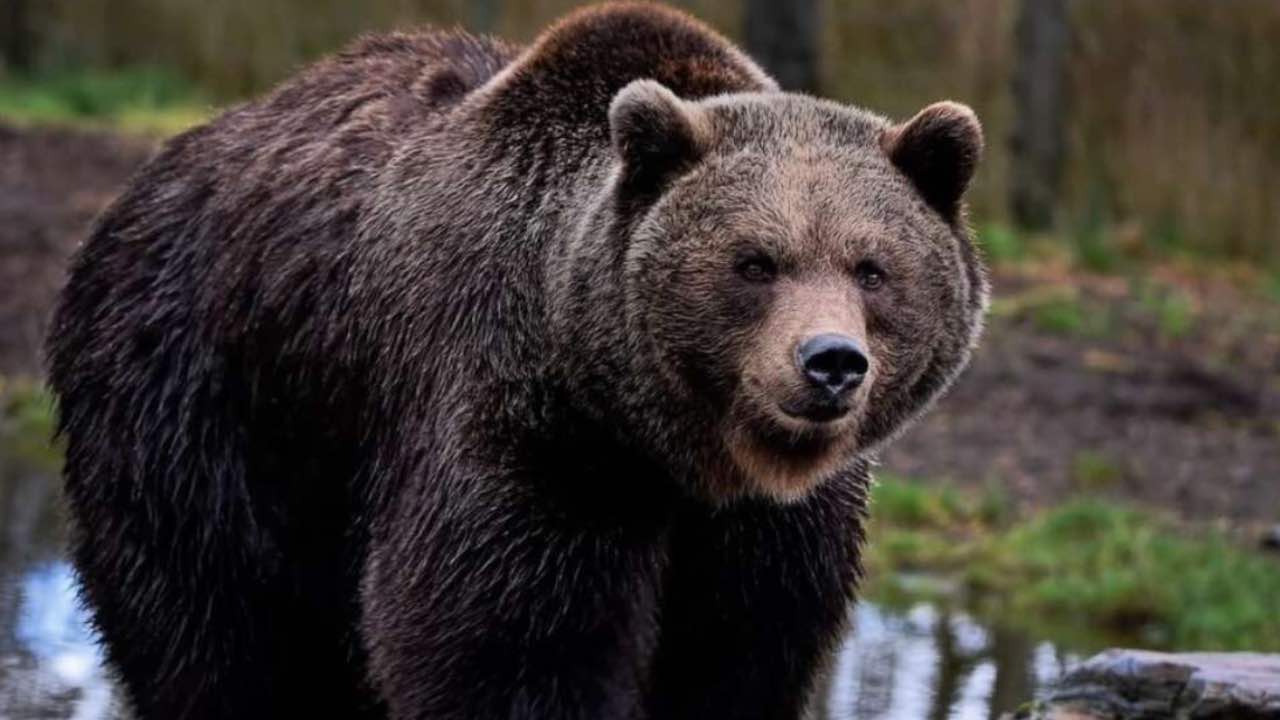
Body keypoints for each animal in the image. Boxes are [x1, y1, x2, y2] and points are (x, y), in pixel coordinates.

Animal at [45, 4, 987, 719]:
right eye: (755, 262)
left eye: (872, 267)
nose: (829, 363)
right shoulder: (525, 436)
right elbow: (508, 644)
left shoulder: (765, 533)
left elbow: (738, 653)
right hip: (206, 401)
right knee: (214, 630)